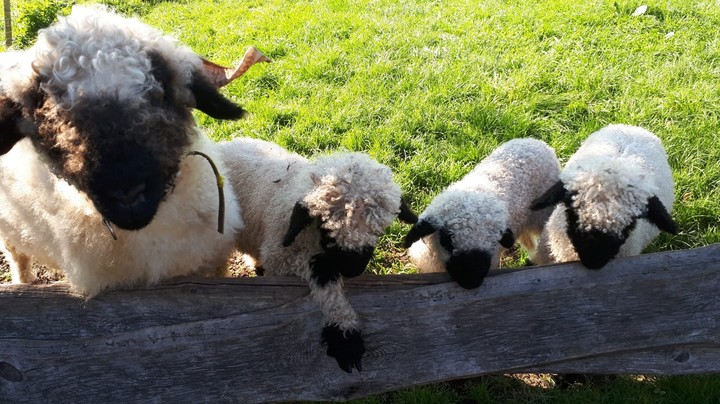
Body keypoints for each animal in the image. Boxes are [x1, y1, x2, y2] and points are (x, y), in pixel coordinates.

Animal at [218, 137, 417, 373]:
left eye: (378, 231)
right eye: (326, 227)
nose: (352, 270)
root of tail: (228, 142)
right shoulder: (280, 255)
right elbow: (322, 271)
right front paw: (345, 338)